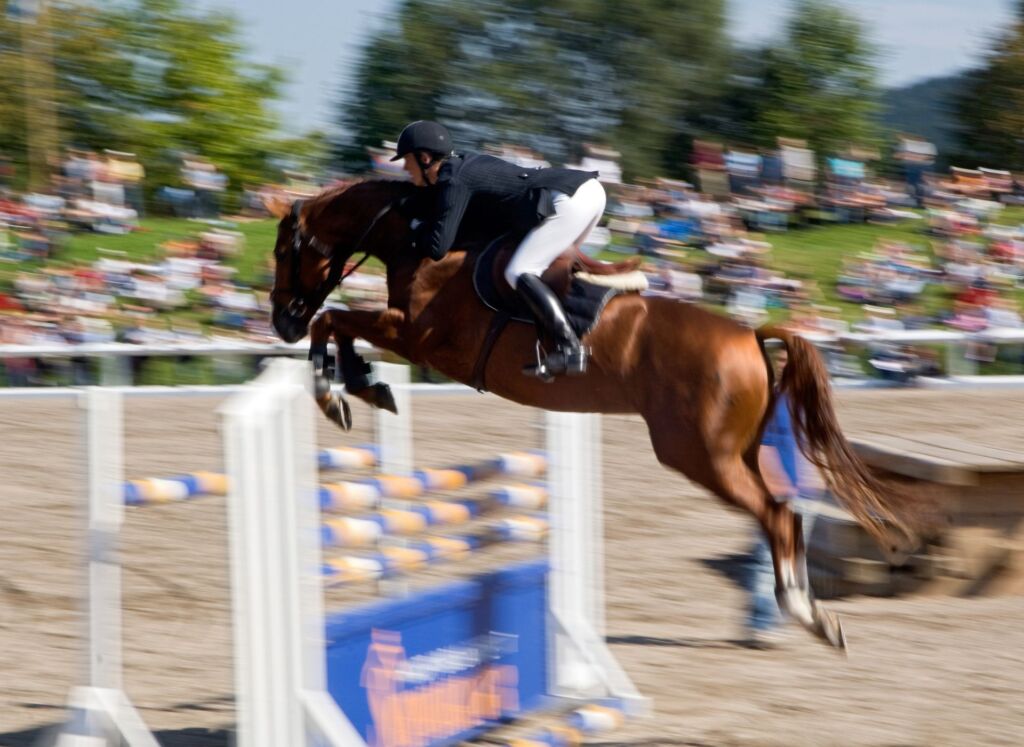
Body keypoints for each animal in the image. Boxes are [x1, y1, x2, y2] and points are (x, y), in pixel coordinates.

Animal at [262, 177, 921, 651]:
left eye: (283, 250)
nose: (280, 322)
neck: (421, 234)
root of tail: (749, 335)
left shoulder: (418, 336)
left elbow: (336, 318)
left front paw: (338, 391)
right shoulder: (408, 335)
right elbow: (341, 324)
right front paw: (365, 384)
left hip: (699, 455)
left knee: (778, 514)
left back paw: (806, 614)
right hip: (733, 451)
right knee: (784, 513)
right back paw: (810, 613)